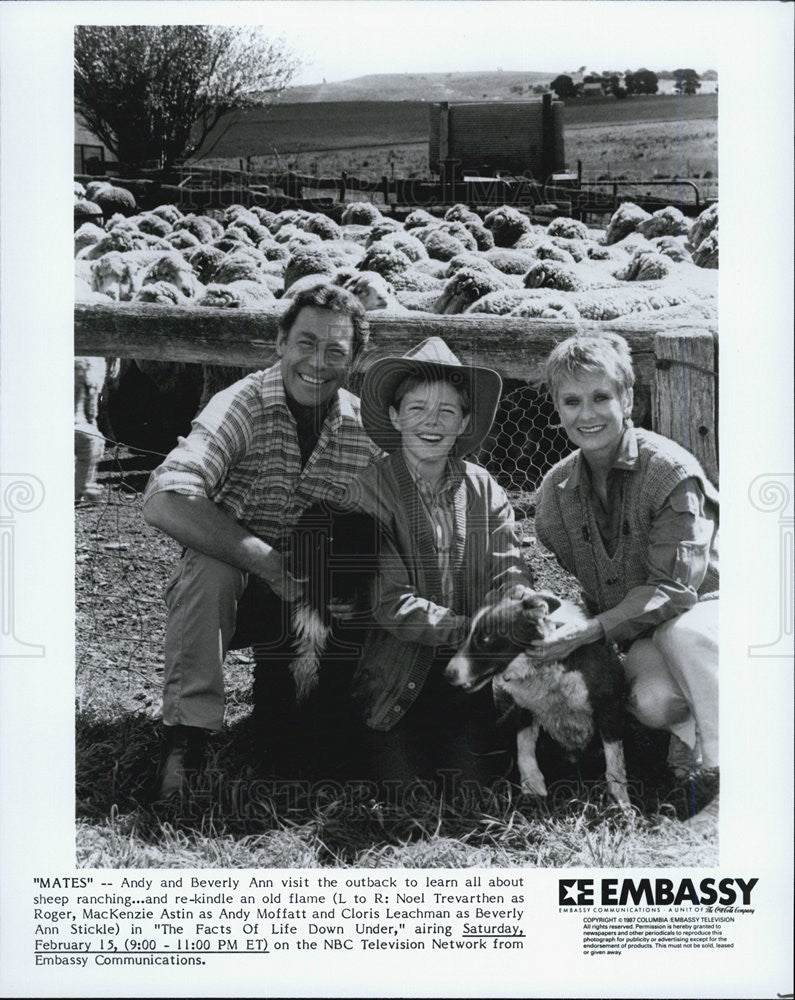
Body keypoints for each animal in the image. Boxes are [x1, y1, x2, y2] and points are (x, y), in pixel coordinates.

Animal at [444, 584, 632, 808]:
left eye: (485, 639)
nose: (447, 674)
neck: (543, 668)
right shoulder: (524, 707)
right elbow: (524, 746)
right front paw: (532, 785)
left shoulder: (608, 705)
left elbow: (615, 760)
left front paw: (620, 800)